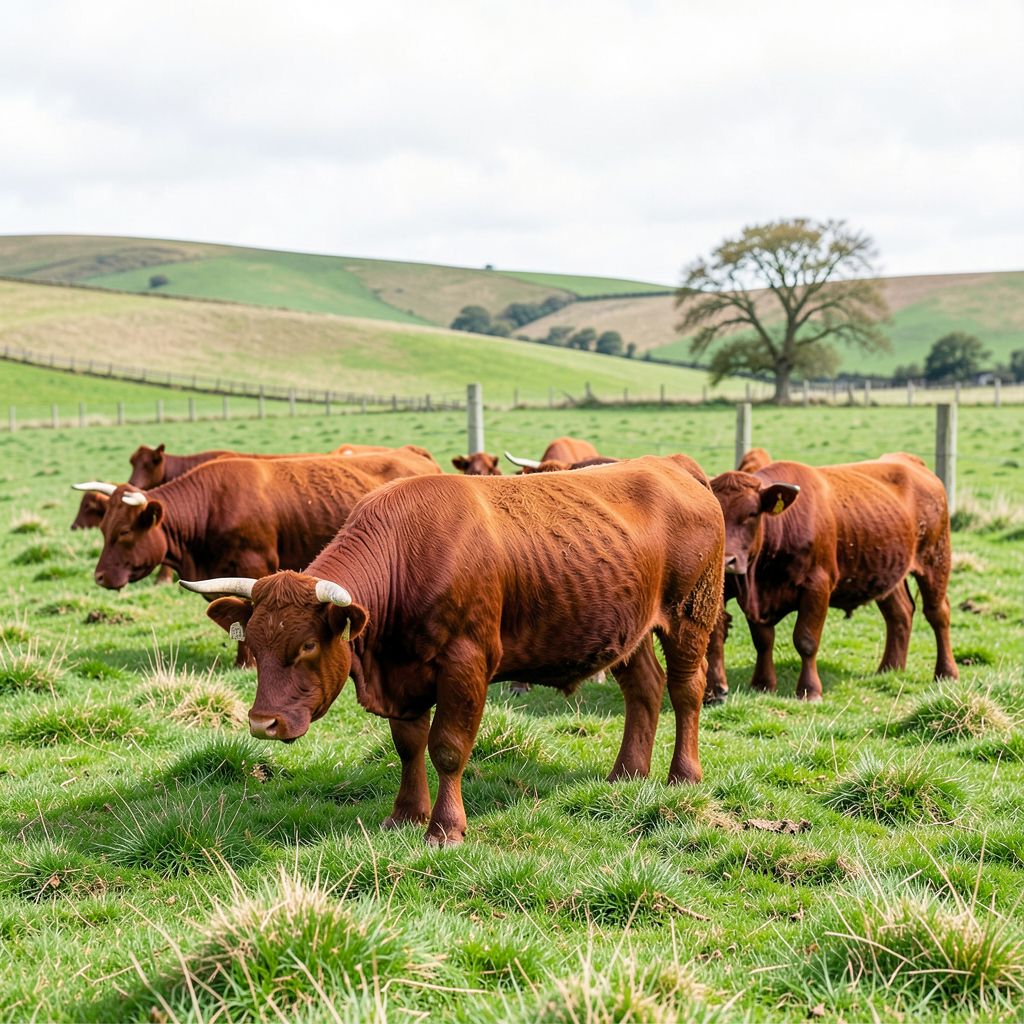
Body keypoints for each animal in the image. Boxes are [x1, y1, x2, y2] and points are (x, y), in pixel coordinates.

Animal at [76, 447, 442, 663]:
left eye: (124, 532)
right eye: (103, 528)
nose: (99, 577)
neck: (212, 506)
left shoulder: (255, 567)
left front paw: (246, 663)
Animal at [181, 455, 725, 845]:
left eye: (308, 645)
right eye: (253, 643)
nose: (262, 723)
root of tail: (671, 463)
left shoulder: (466, 665)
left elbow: (447, 748)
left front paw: (445, 828)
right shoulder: (404, 676)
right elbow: (408, 746)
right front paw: (404, 815)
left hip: (690, 616)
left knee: (686, 690)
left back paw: (683, 776)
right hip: (628, 630)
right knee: (645, 690)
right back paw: (626, 775)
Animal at [704, 450, 957, 704]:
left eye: (752, 513)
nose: (727, 560)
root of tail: (906, 459)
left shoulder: (817, 585)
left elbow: (806, 640)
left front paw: (810, 690)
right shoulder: (755, 599)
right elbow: (762, 641)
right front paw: (762, 685)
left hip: (935, 560)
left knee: (938, 614)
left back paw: (946, 673)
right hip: (887, 570)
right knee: (900, 614)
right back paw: (889, 669)